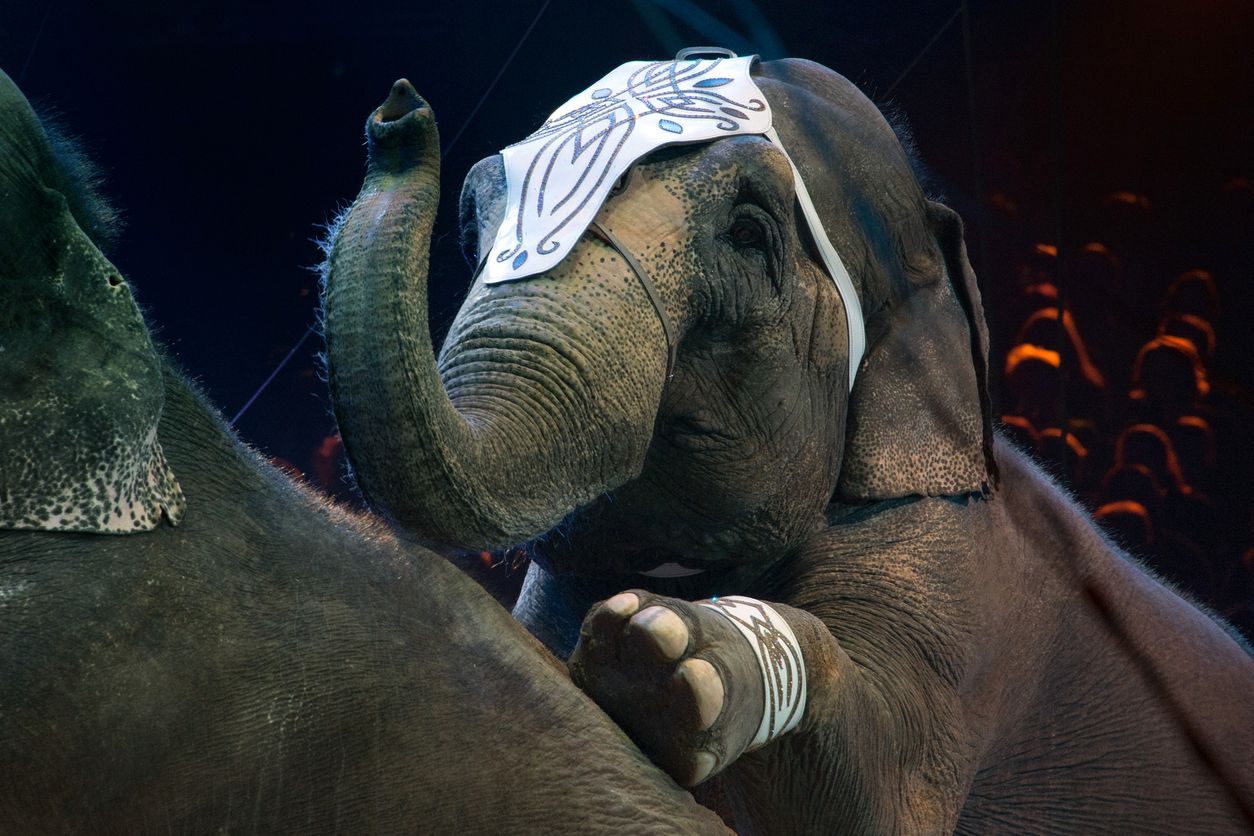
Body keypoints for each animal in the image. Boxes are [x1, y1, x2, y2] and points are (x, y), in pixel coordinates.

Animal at [321, 54, 1254, 833]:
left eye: (747, 232)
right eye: (475, 225)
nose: (397, 115)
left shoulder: (965, 574)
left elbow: (874, 801)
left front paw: (667, 654)